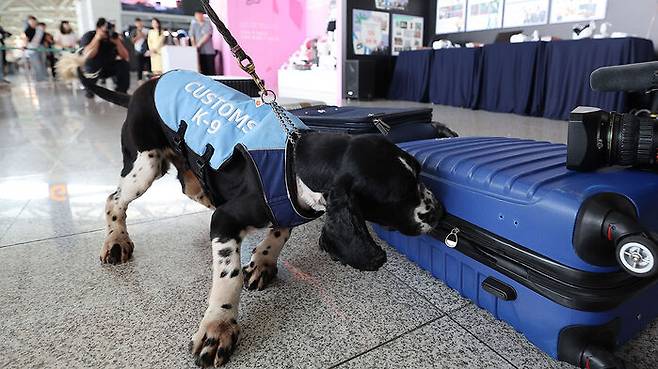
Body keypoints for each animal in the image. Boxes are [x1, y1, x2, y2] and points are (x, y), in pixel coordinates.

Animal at [59, 56, 440, 366]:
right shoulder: (226, 219)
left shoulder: (283, 206)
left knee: (190, 187)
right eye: (398, 196)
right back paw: (116, 240)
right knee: (114, 200)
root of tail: (141, 88)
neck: (295, 157)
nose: (438, 212)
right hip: (144, 162)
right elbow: (229, 276)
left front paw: (262, 262)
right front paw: (218, 327)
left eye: (420, 173)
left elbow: (279, 232)